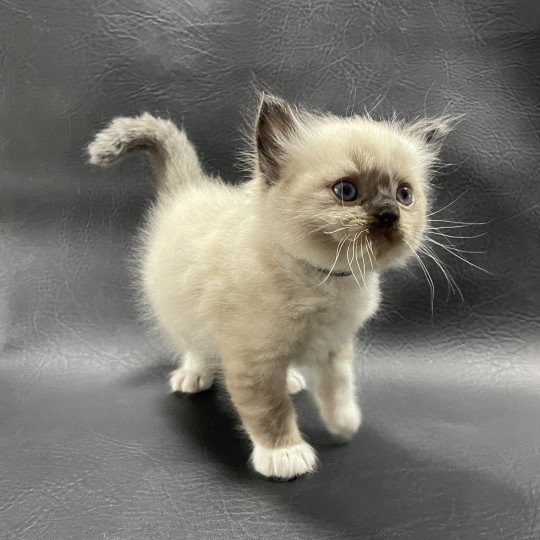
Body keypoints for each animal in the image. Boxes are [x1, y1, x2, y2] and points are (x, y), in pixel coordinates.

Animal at [88, 94, 450, 480]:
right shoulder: (252, 360)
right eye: (346, 191)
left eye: (404, 195)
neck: (324, 281)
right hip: (178, 310)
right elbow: (270, 411)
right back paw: (194, 375)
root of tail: (190, 190)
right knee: (195, 345)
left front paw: (344, 424)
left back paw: (289, 378)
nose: (389, 215)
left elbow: (338, 389)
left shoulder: (334, 346)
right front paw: (285, 455)